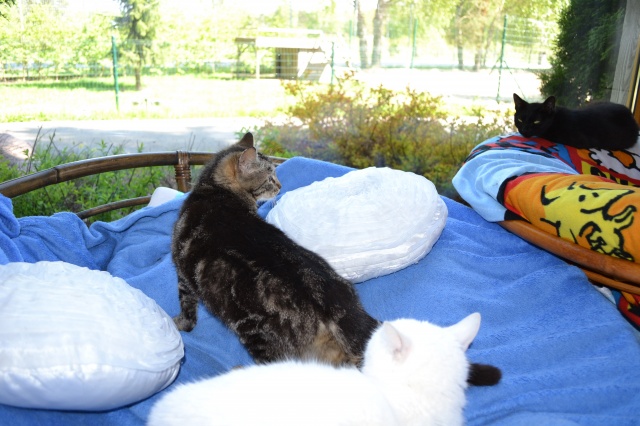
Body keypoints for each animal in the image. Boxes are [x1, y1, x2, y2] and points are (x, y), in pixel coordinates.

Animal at [171, 132, 379, 367]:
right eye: (270, 177)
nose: (280, 186)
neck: (215, 190)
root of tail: (336, 305)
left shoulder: (182, 275)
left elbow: (187, 309)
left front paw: (180, 324)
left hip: (257, 337)